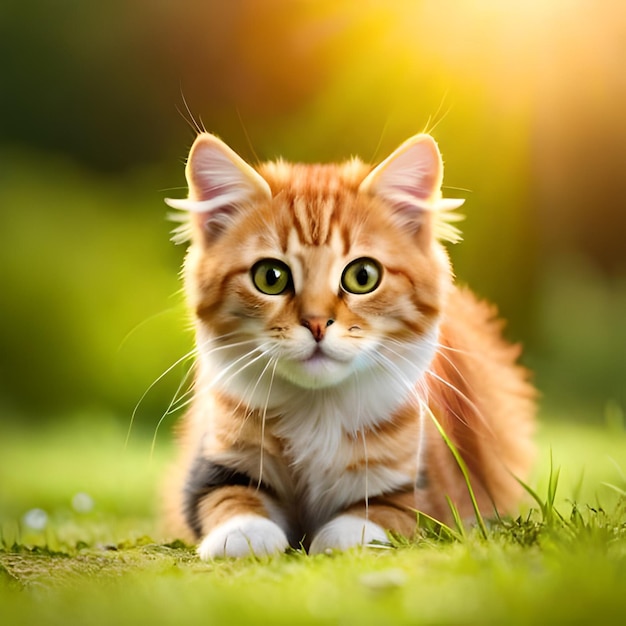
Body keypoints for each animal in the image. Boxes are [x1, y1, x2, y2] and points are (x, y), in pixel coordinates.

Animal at [161, 130, 532, 556]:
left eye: (362, 276)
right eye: (270, 277)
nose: (316, 324)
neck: (316, 410)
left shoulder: (425, 489)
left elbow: (374, 515)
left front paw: (335, 539)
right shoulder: (211, 466)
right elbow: (231, 498)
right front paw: (244, 536)